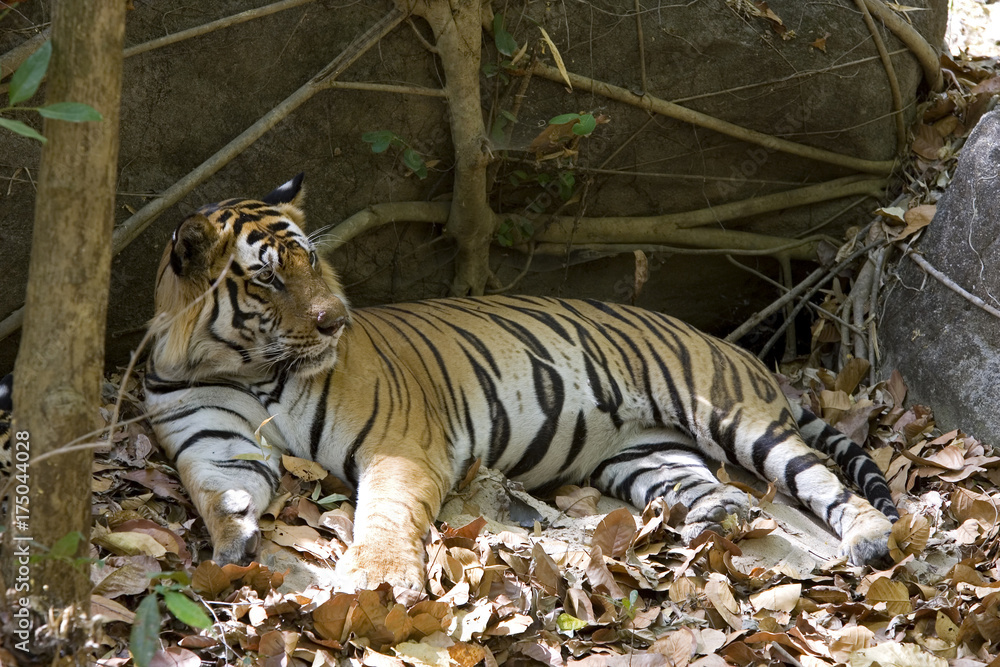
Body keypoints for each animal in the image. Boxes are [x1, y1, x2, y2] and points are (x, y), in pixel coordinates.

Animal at [144, 174, 898, 591]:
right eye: (269, 278)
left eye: (309, 262)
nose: (336, 320)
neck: (244, 367)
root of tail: (728, 345)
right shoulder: (209, 439)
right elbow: (219, 491)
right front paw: (232, 545)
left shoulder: (400, 446)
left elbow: (384, 513)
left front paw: (378, 578)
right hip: (648, 457)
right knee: (722, 495)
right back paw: (713, 525)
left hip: (735, 417)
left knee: (823, 479)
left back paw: (870, 539)